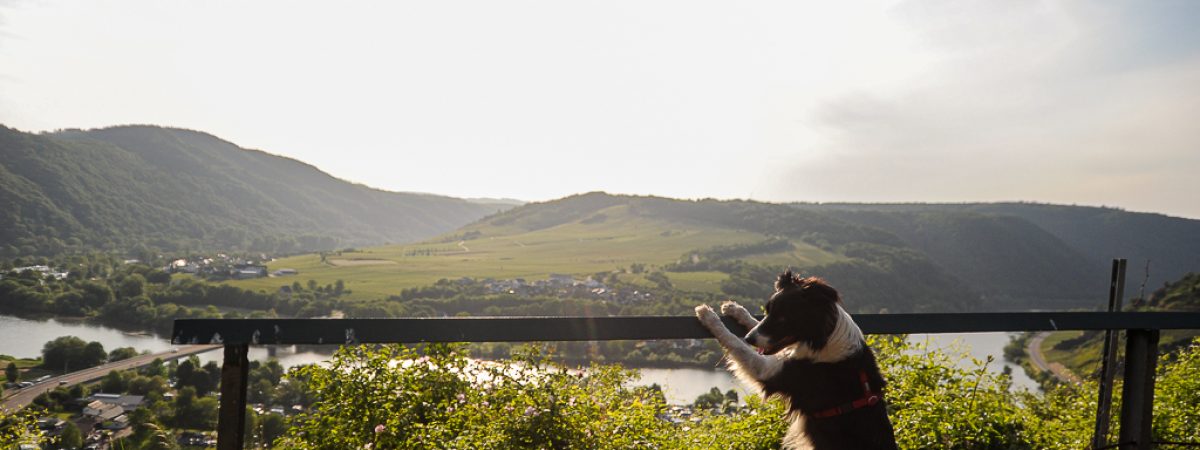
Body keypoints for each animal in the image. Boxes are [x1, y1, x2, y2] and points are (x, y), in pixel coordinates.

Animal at [696, 271, 902, 450]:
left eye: (782, 319)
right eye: (767, 311)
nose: (749, 339)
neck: (824, 338)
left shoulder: (770, 371)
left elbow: (734, 342)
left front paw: (709, 316)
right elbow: (753, 324)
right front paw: (735, 309)